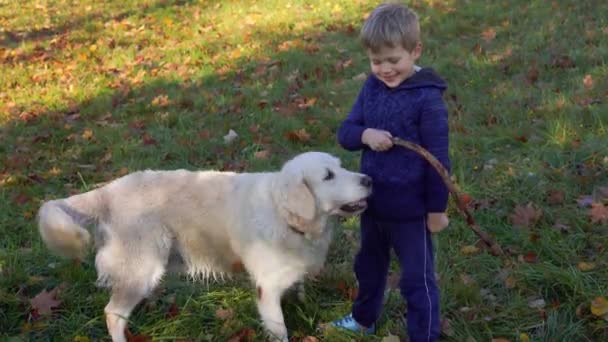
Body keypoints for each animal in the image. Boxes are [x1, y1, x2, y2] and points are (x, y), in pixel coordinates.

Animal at [39, 153, 370, 342]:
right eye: (328, 176)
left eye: (341, 167)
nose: (368, 179)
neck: (285, 213)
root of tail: (108, 190)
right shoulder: (267, 288)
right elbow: (279, 329)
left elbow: (299, 292)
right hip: (141, 267)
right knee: (113, 314)